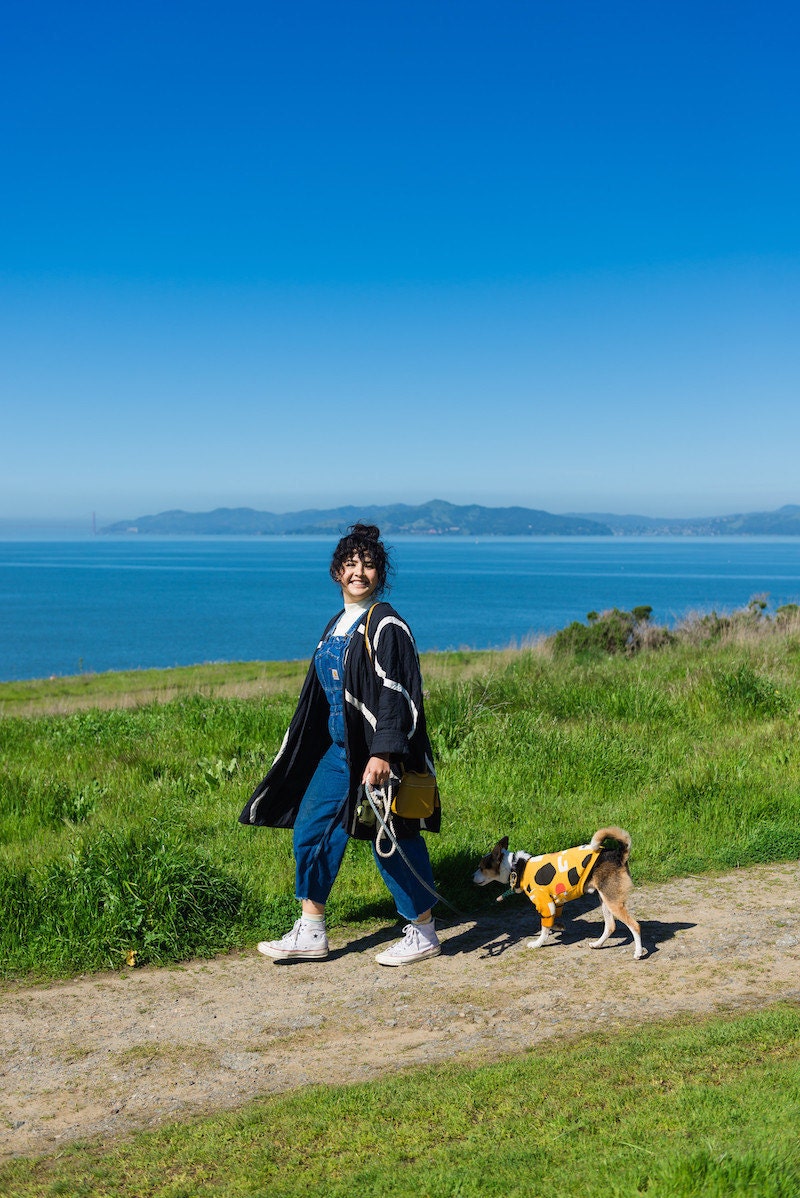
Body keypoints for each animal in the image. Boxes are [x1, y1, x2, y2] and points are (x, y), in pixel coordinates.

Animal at [474, 829, 641, 958]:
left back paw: (638, 953)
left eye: (481, 867)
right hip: (605, 899)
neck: (516, 867)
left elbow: (544, 928)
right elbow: (551, 922)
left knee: (635, 926)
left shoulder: (545, 904)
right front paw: (559, 926)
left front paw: (537, 943)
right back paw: (597, 944)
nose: (471, 876)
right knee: (610, 926)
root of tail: (617, 854)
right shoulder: (555, 903)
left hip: (612, 902)